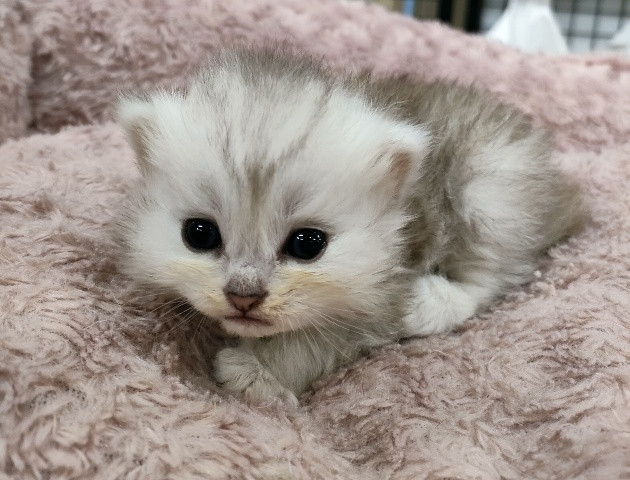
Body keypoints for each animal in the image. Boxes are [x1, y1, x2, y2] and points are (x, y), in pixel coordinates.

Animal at [116, 48, 584, 406]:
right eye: (199, 234)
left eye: (308, 244)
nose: (243, 296)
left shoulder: (385, 291)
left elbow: (316, 341)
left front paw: (256, 371)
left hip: (494, 190)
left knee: (493, 274)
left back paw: (430, 303)